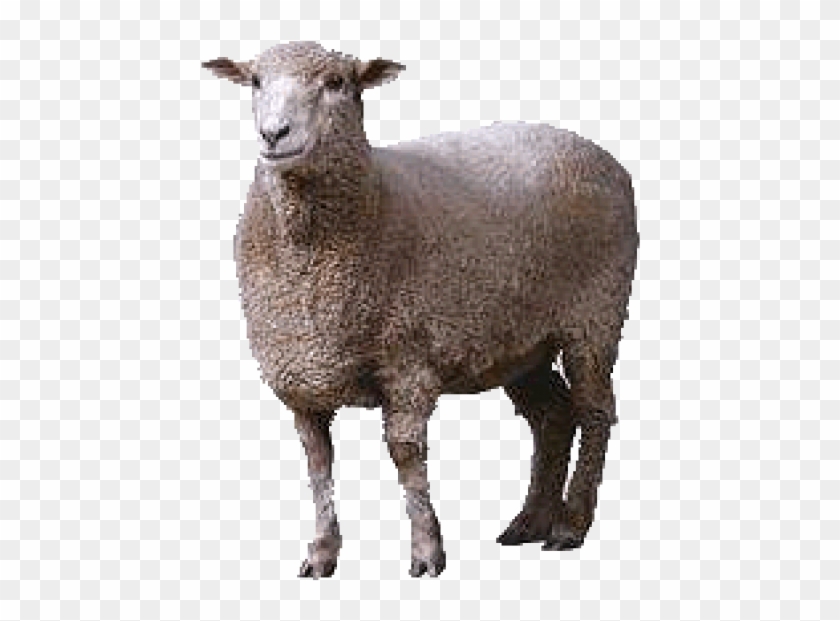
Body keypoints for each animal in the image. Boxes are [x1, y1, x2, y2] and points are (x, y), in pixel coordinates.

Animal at [202, 41, 638, 578]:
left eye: (336, 83)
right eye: (256, 81)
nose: (274, 133)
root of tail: (601, 154)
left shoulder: (406, 361)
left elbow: (405, 454)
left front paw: (427, 551)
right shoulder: (301, 378)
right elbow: (318, 463)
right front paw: (322, 552)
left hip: (595, 316)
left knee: (595, 412)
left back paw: (570, 525)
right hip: (520, 341)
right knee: (552, 417)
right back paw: (529, 522)